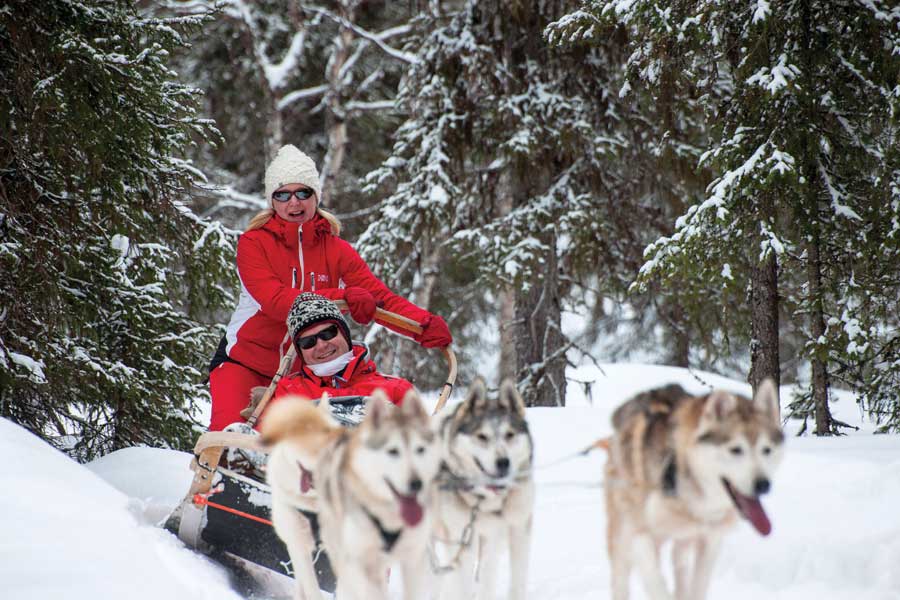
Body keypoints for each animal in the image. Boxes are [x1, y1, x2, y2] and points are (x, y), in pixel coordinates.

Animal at [430, 380, 536, 600]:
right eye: (482, 436)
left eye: (509, 434)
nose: (503, 462)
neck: (483, 499)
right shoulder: (460, 538)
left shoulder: (513, 530)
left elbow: (506, 581)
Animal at [604, 380, 788, 600]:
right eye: (736, 449)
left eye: (766, 449)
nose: (763, 484)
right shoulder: (640, 534)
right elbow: (656, 582)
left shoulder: (709, 540)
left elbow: (698, 586)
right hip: (622, 536)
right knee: (621, 578)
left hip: (682, 541)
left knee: (680, 566)